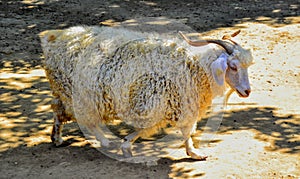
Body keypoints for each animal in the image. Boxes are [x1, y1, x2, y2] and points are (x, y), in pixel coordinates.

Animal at [38, 25, 253, 160]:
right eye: (233, 67)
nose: (247, 91)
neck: (194, 66)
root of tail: (52, 37)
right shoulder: (157, 104)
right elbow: (176, 130)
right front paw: (195, 153)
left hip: (66, 91)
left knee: (59, 110)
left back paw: (57, 138)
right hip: (80, 95)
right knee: (83, 118)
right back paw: (104, 140)